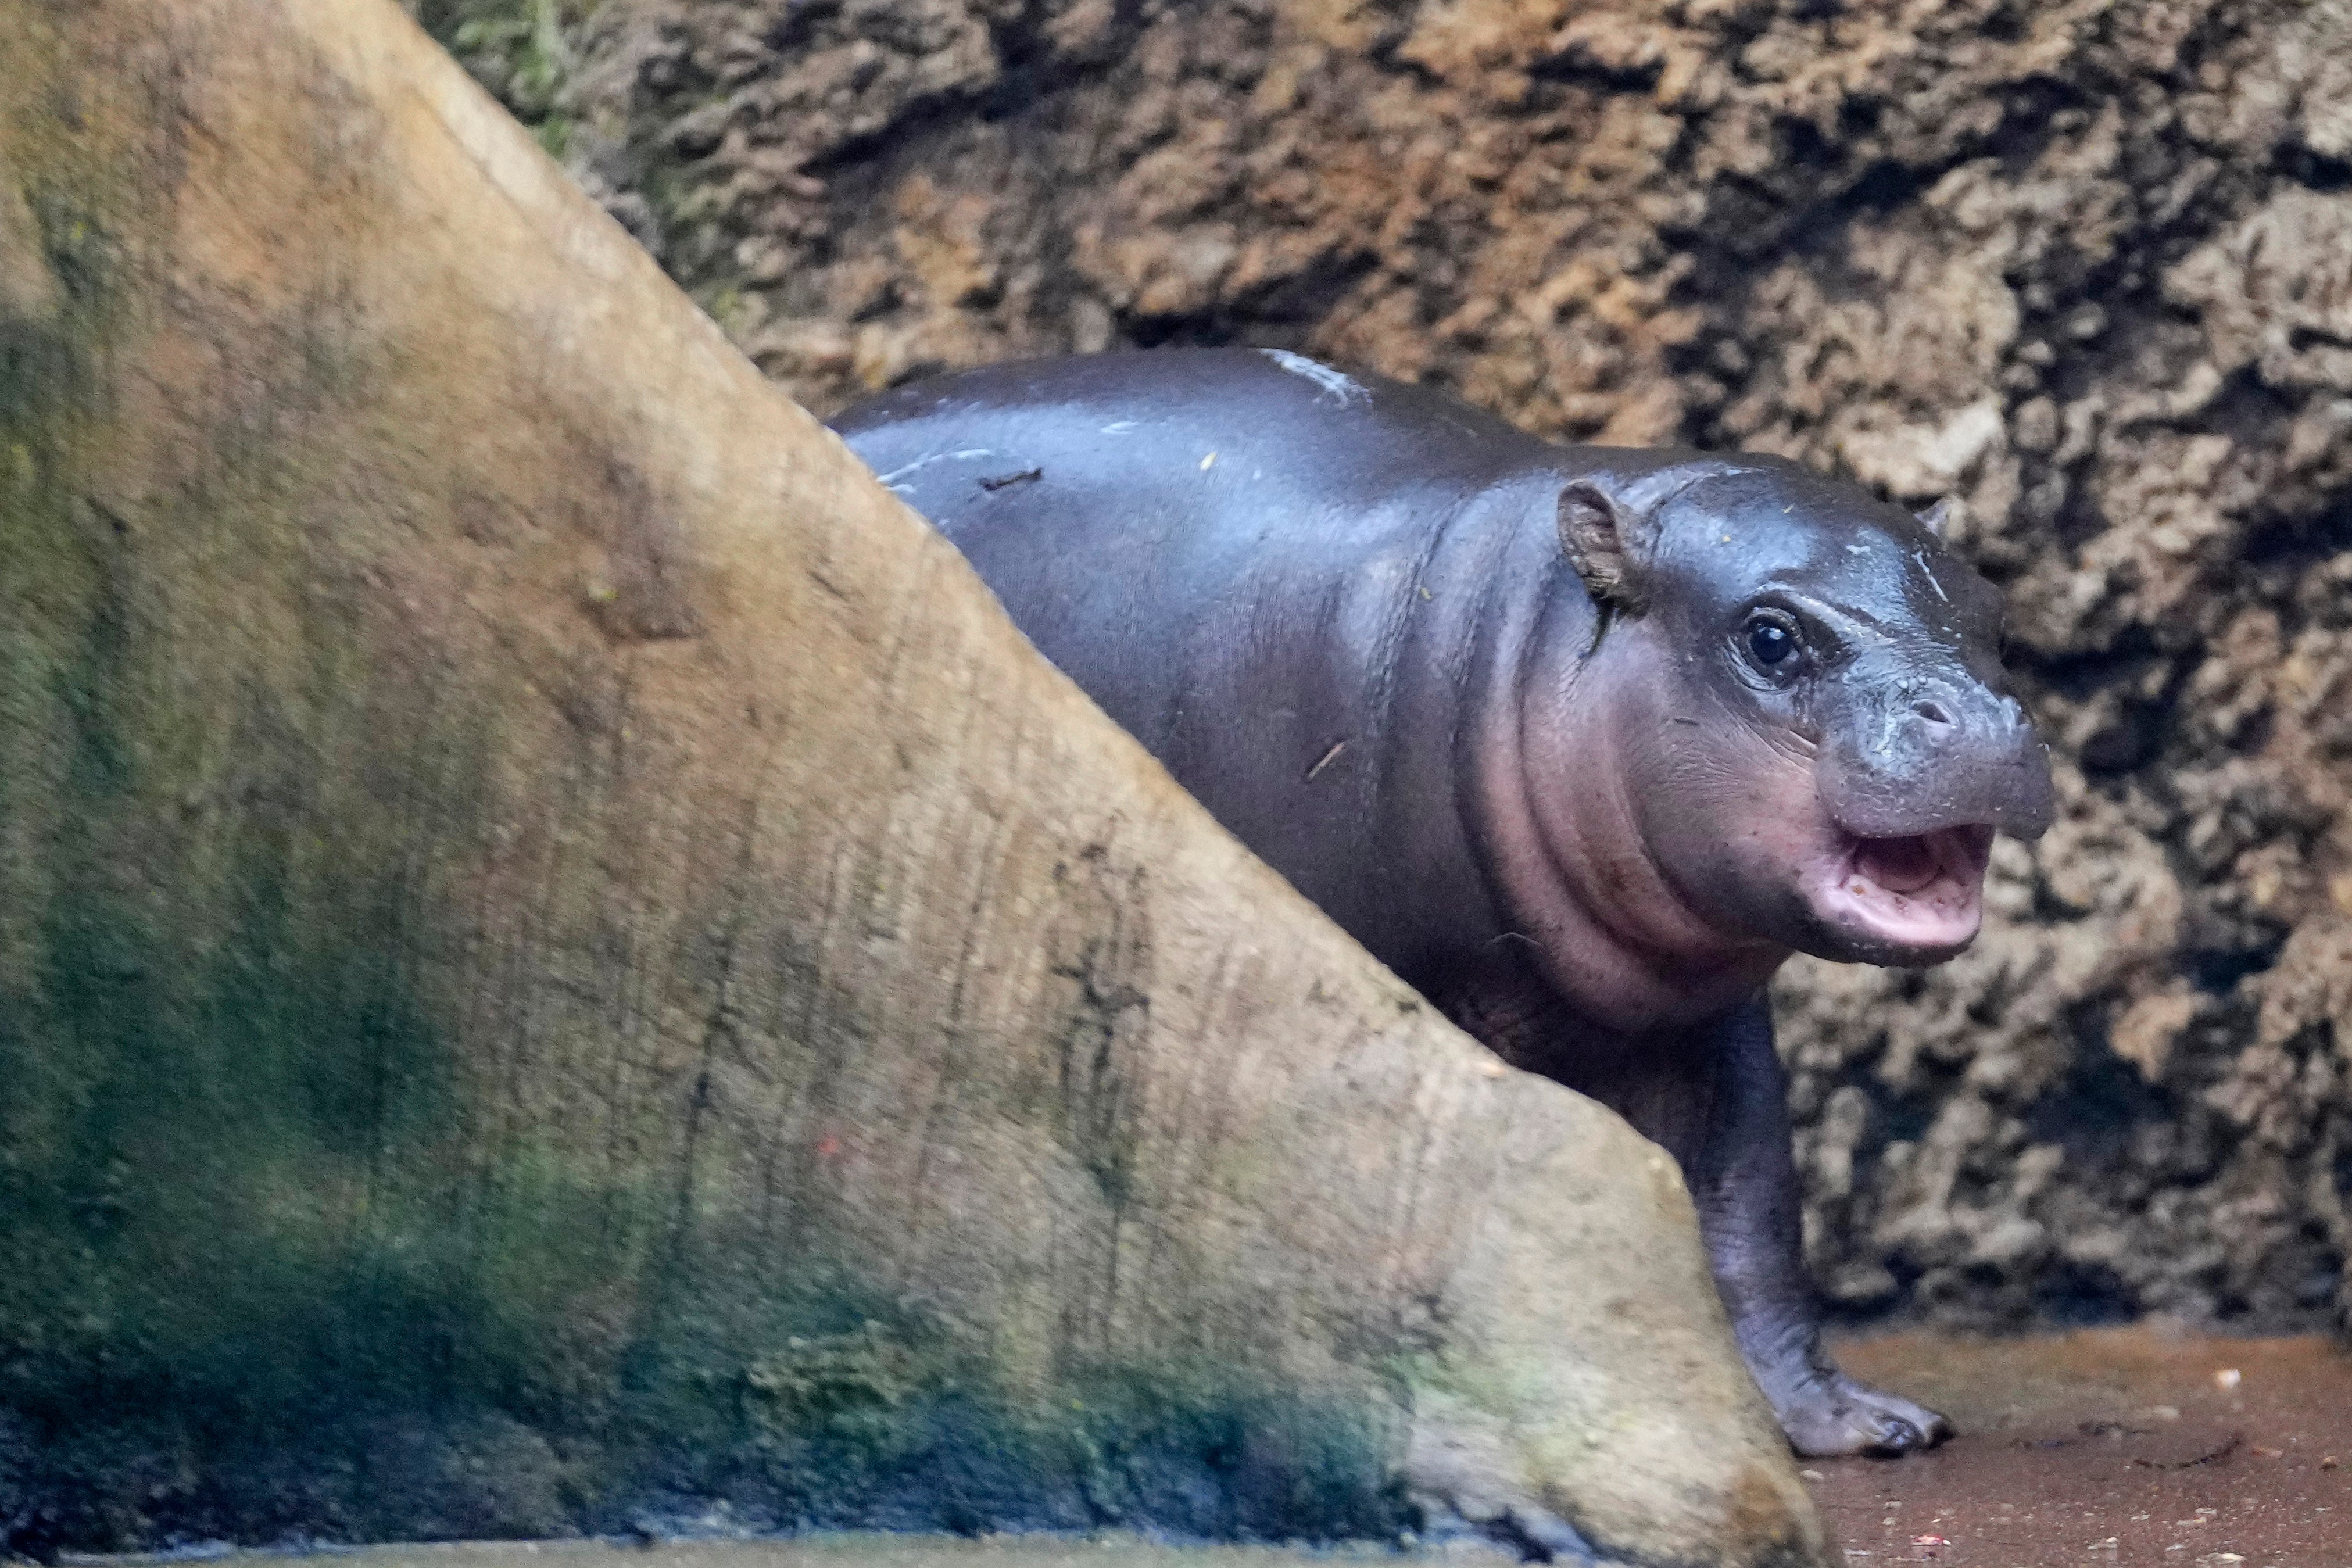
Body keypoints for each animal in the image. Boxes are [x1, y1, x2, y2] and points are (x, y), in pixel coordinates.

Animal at [831, 347, 2054, 1461]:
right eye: (1769, 635)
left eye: (1995, 615)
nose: (1987, 717)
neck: (1511, 636)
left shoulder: (1702, 1018)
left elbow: (1749, 1207)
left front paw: (1853, 1422)